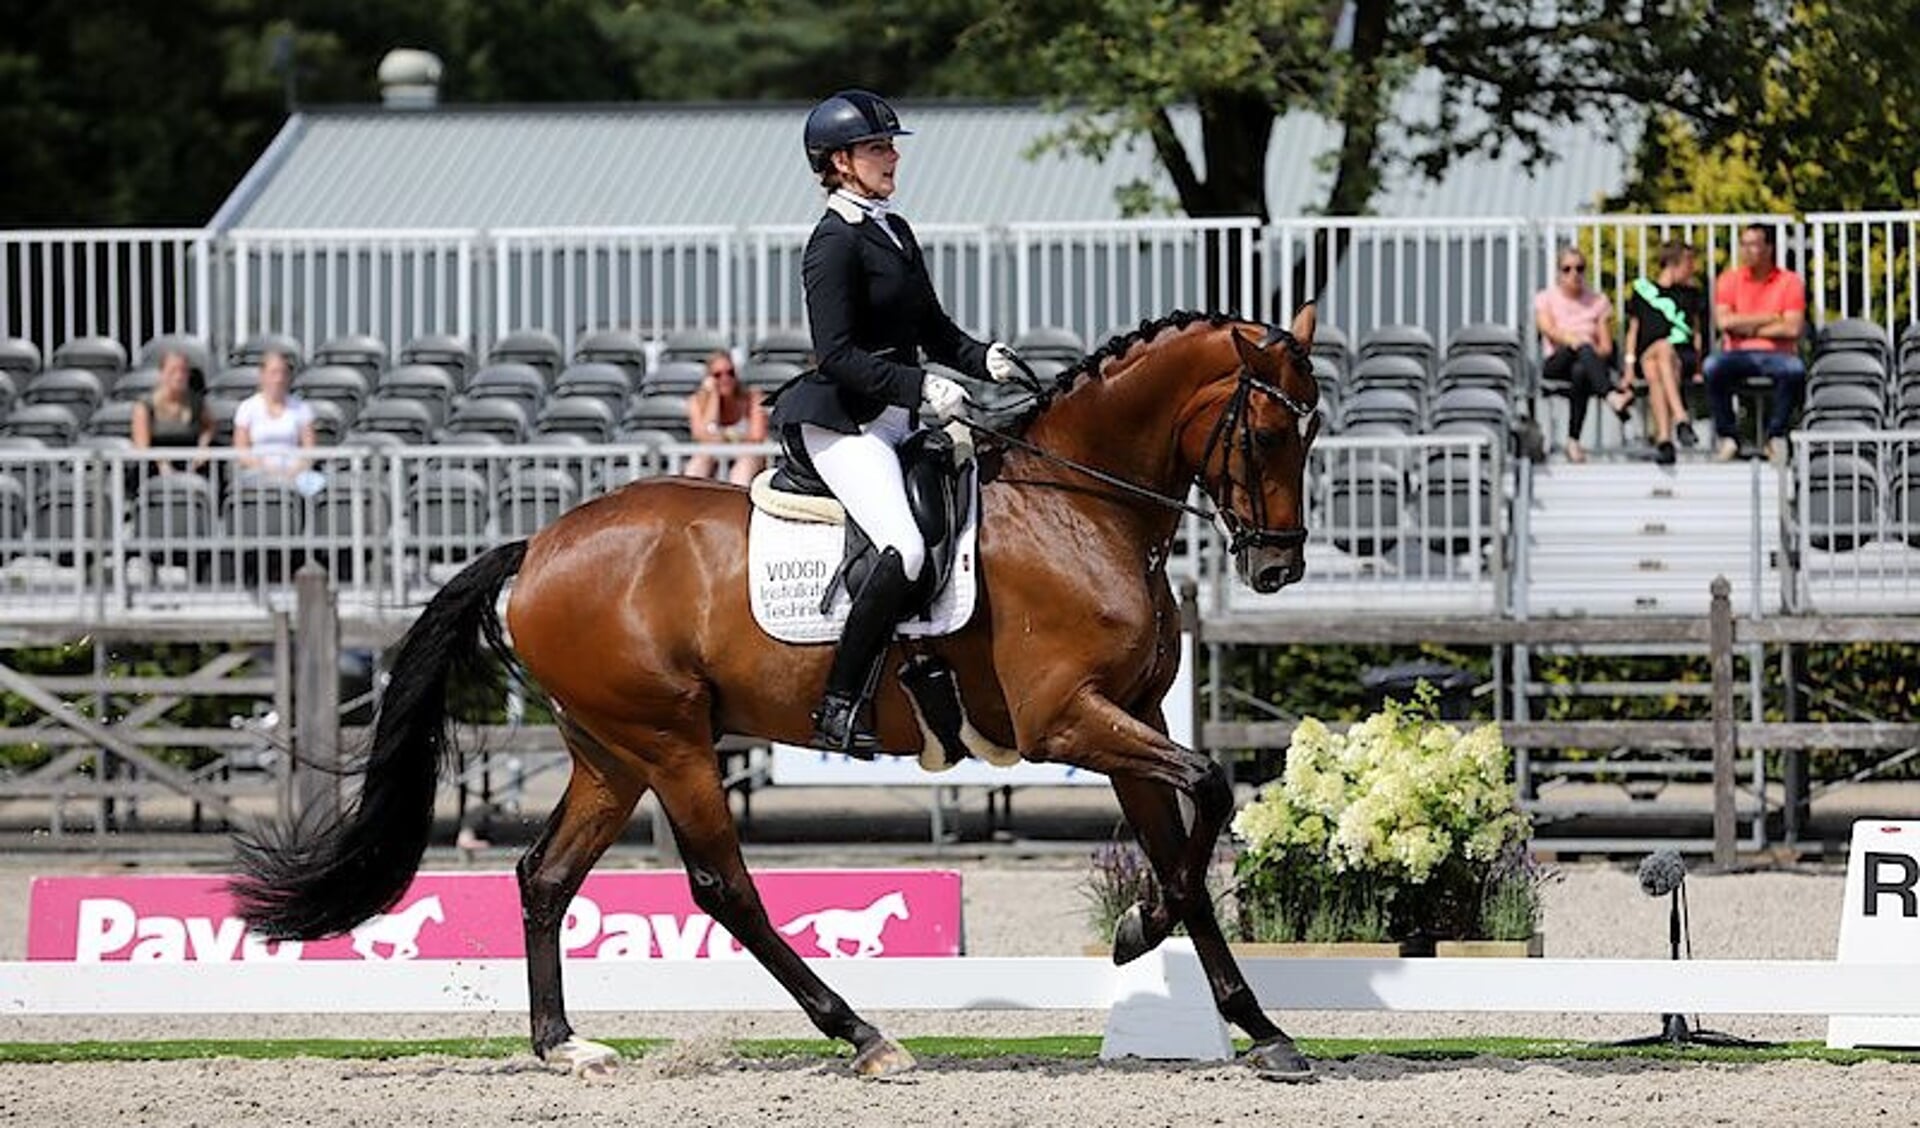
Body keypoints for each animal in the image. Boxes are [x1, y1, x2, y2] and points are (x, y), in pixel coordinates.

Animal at [228, 303, 1320, 1081]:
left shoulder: (1129, 718)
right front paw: (1144, 934)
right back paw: (864, 1036)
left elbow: (1184, 850)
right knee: (725, 888)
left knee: (545, 876)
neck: (1082, 509)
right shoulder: (1067, 722)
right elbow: (1210, 790)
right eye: (1269, 434)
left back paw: (564, 1044)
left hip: (610, 753)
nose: (1277, 571)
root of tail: (537, 547)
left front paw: (1251, 1022)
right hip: (671, 743)